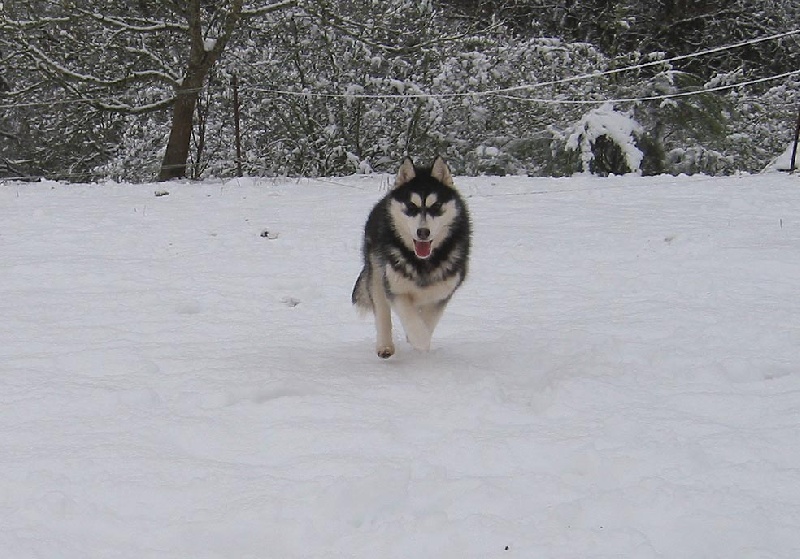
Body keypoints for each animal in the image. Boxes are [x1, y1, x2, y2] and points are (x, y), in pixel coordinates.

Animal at [354, 158, 472, 358]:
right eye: (411, 207)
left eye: (436, 207)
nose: (423, 232)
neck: (422, 262)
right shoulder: (394, 287)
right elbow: (409, 316)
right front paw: (418, 338)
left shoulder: (443, 291)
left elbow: (430, 318)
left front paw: (420, 338)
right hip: (376, 273)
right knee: (382, 312)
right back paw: (385, 345)